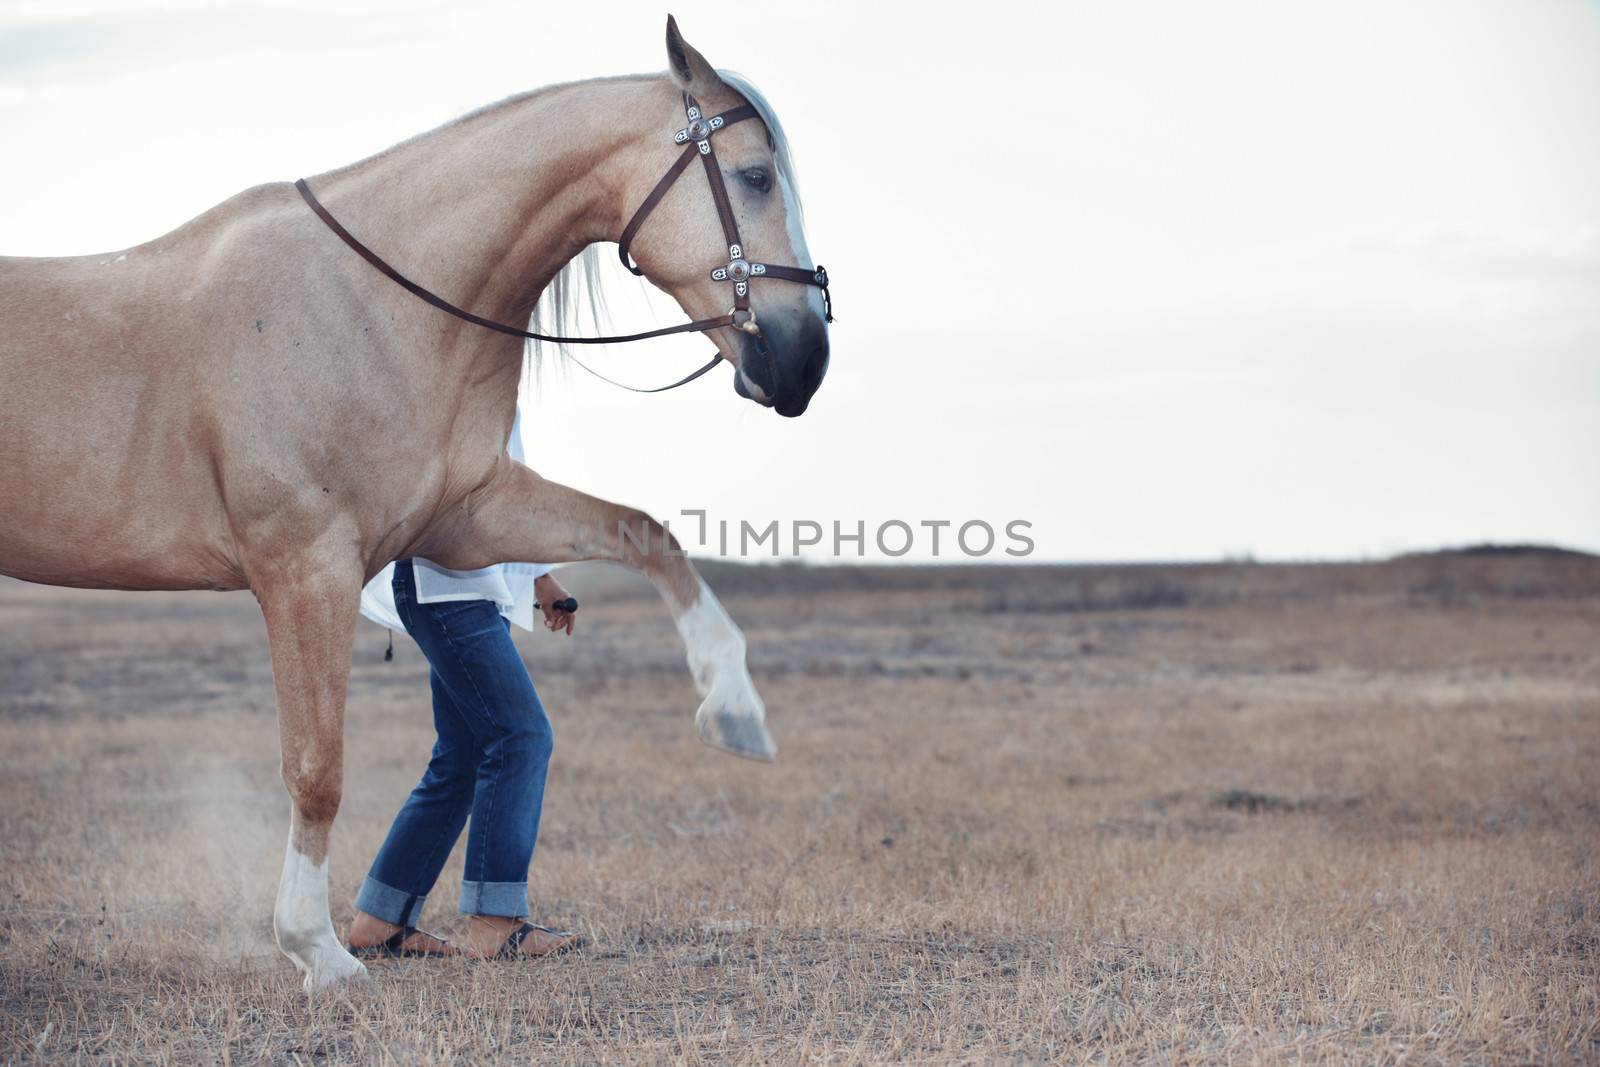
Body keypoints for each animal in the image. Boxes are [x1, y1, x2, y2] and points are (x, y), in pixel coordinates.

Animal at [0, 16, 832, 991]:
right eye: (755, 175)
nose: (803, 359)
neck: (372, 304)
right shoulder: (307, 569)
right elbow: (316, 766)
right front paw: (317, 951)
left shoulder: (462, 521)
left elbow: (646, 532)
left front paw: (733, 706)